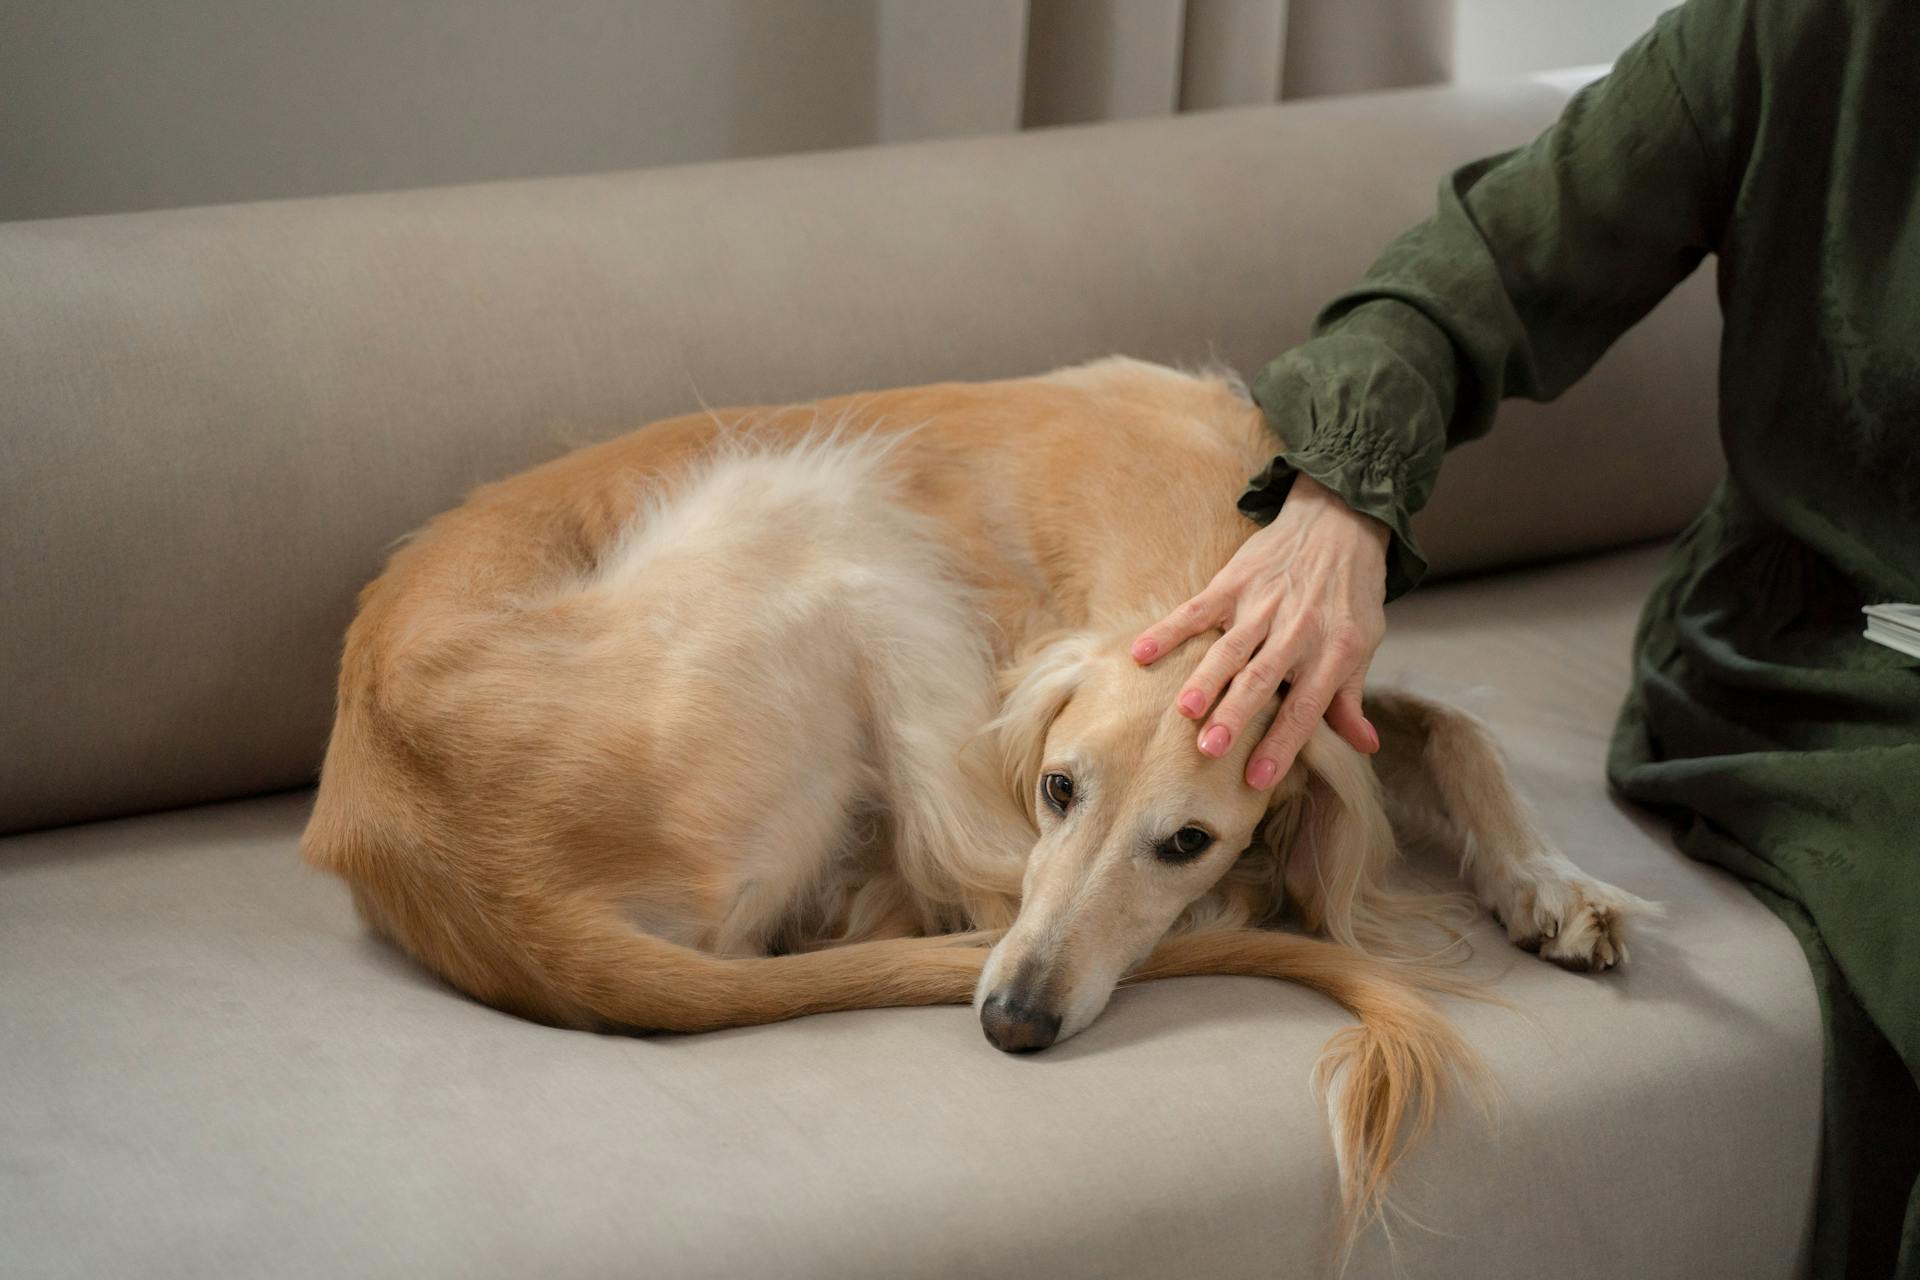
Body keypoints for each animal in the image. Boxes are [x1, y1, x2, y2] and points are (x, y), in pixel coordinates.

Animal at [307, 355, 1643, 1243]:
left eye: (1187, 838)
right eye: (1058, 785)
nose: (1013, 1021)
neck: (1187, 530)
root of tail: (474, 875)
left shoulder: (1333, 695)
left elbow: (1455, 729)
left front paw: (1554, 881)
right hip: (818, 511)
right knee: (930, 883)